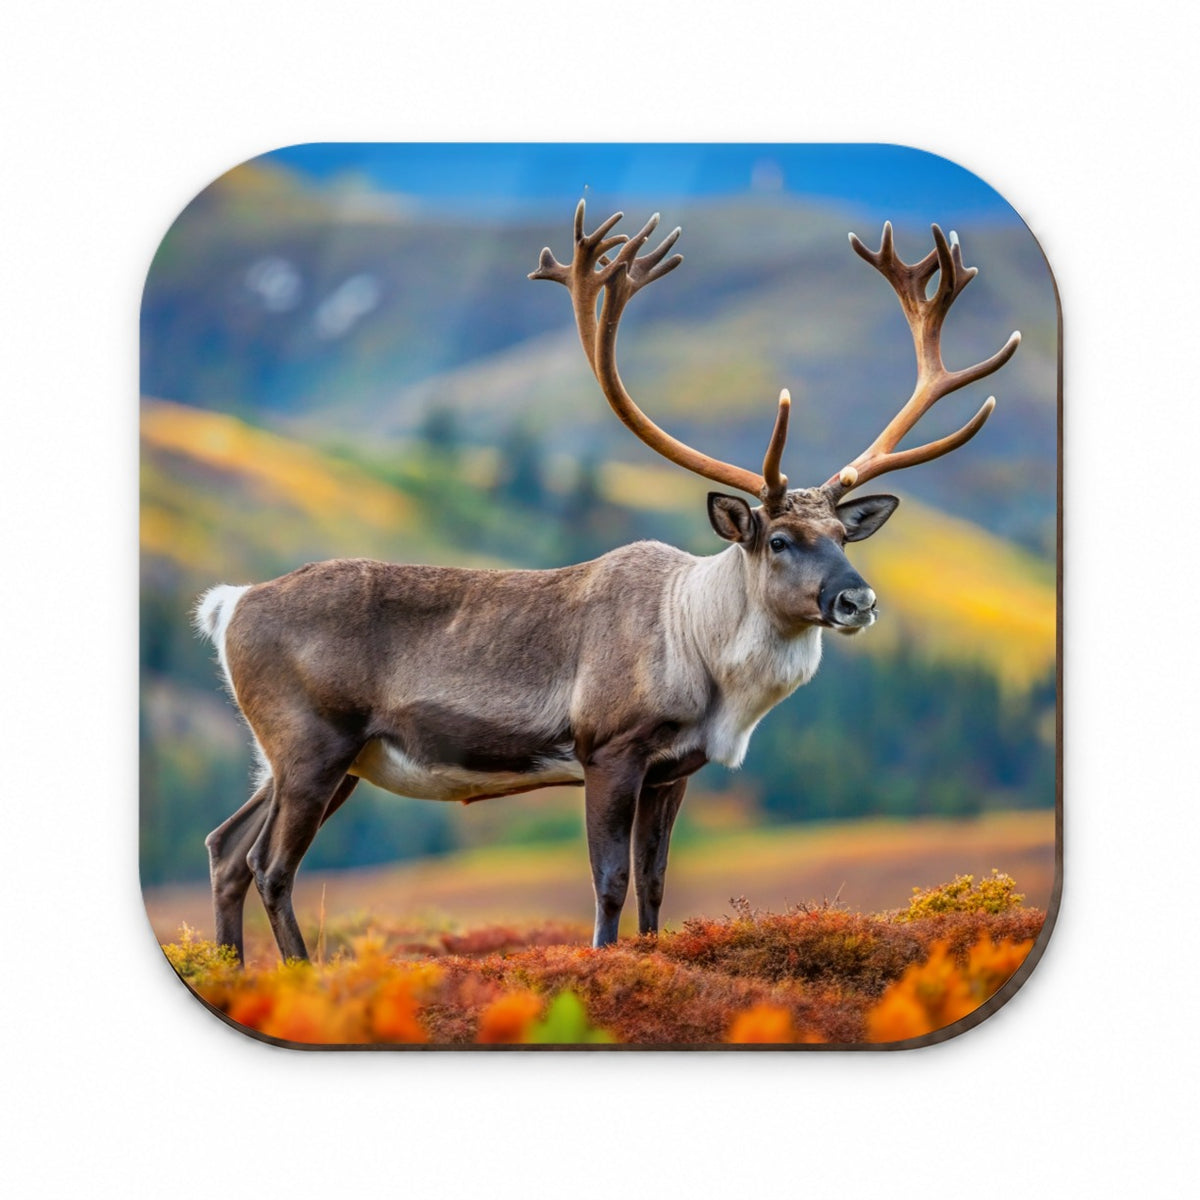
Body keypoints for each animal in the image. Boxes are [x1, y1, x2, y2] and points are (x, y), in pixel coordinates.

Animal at [196, 200, 1020, 963]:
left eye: (847, 535)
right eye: (780, 539)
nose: (857, 599)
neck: (704, 661)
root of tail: (229, 604)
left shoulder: (672, 771)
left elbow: (655, 882)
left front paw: (651, 962)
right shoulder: (609, 751)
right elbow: (610, 881)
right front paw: (602, 963)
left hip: (306, 758)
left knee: (225, 847)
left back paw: (233, 970)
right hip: (313, 741)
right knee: (270, 864)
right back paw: (301, 976)